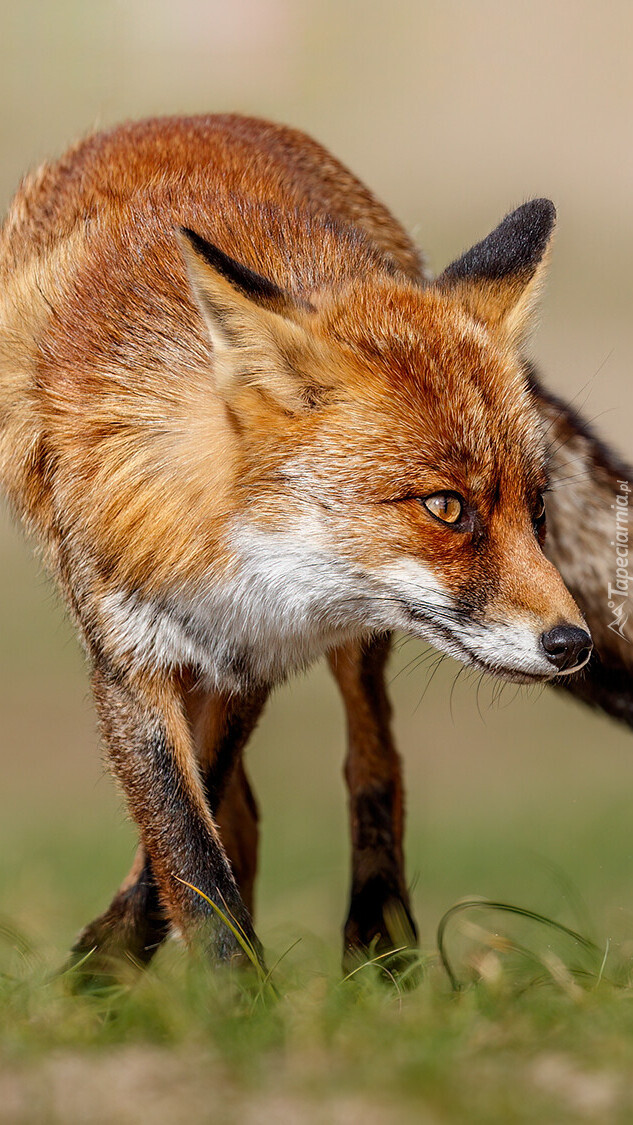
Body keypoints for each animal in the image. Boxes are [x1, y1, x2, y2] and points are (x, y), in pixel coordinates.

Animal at [0, 114, 629, 972]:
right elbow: (187, 845)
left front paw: (146, 964)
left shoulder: (255, 654)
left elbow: (195, 835)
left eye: (535, 511)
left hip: (354, 642)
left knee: (373, 758)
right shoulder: (129, 658)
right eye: (446, 507)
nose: (572, 643)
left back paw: (379, 939)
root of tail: (195, 117)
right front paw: (216, 983)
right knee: (246, 812)